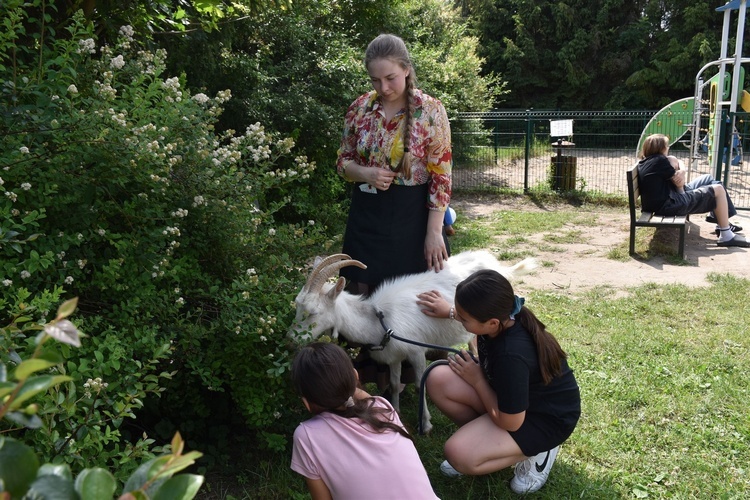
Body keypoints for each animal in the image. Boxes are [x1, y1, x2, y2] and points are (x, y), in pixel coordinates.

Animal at [290, 250, 540, 434]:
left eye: (312, 313)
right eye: (297, 306)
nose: (290, 339)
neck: (379, 321)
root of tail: (493, 263)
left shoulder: (416, 351)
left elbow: (421, 383)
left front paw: (426, 424)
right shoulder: (393, 355)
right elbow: (393, 382)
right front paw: (396, 412)